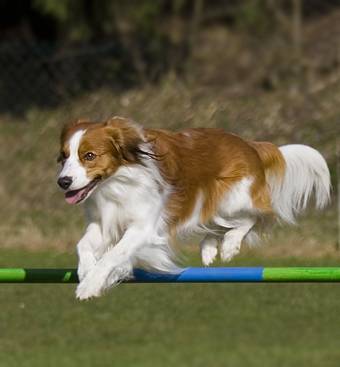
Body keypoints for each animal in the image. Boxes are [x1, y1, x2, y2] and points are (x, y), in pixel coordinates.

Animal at [57, 116, 330, 300]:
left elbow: (114, 254)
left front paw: (90, 284)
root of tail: (249, 145)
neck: (117, 180)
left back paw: (230, 245)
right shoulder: (104, 222)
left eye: (89, 156)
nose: (63, 182)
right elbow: (83, 245)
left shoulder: (144, 228)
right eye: (64, 156)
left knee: (254, 218)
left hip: (234, 200)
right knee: (216, 225)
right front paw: (87, 271)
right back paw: (209, 249)